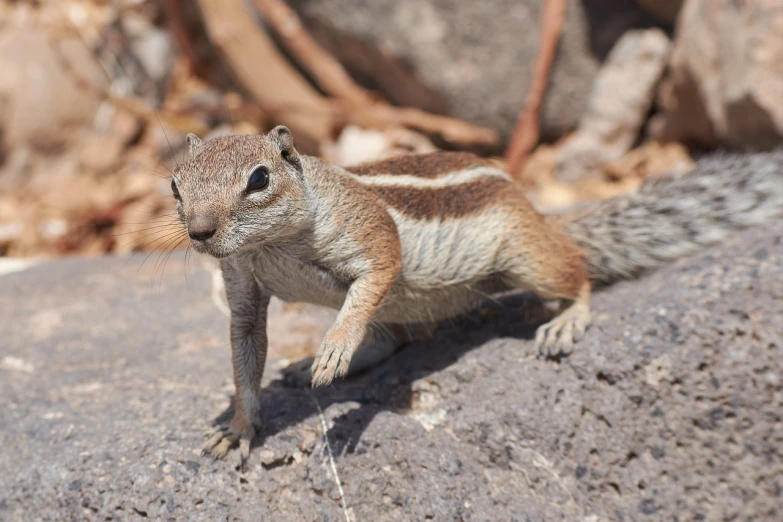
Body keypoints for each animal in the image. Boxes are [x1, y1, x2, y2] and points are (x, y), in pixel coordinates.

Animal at [170, 126, 783, 460]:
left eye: (258, 180)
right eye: (175, 185)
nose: (199, 232)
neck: (274, 244)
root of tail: (535, 209)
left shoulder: (370, 234)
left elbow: (375, 274)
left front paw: (337, 345)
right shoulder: (244, 287)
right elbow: (245, 354)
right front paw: (240, 430)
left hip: (526, 259)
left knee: (577, 272)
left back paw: (567, 320)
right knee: (391, 339)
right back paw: (304, 368)